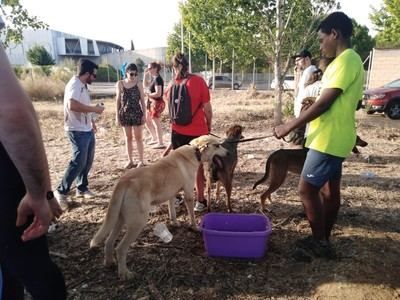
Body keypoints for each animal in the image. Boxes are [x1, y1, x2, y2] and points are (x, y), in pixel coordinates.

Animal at [90, 135, 228, 280]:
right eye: (217, 145)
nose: (229, 153)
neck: (195, 151)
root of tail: (124, 181)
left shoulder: (172, 194)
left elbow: (172, 211)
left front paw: (174, 223)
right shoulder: (189, 195)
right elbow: (192, 216)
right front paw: (195, 227)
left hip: (119, 219)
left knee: (108, 242)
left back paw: (109, 263)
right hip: (137, 223)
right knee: (120, 248)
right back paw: (124, 273)